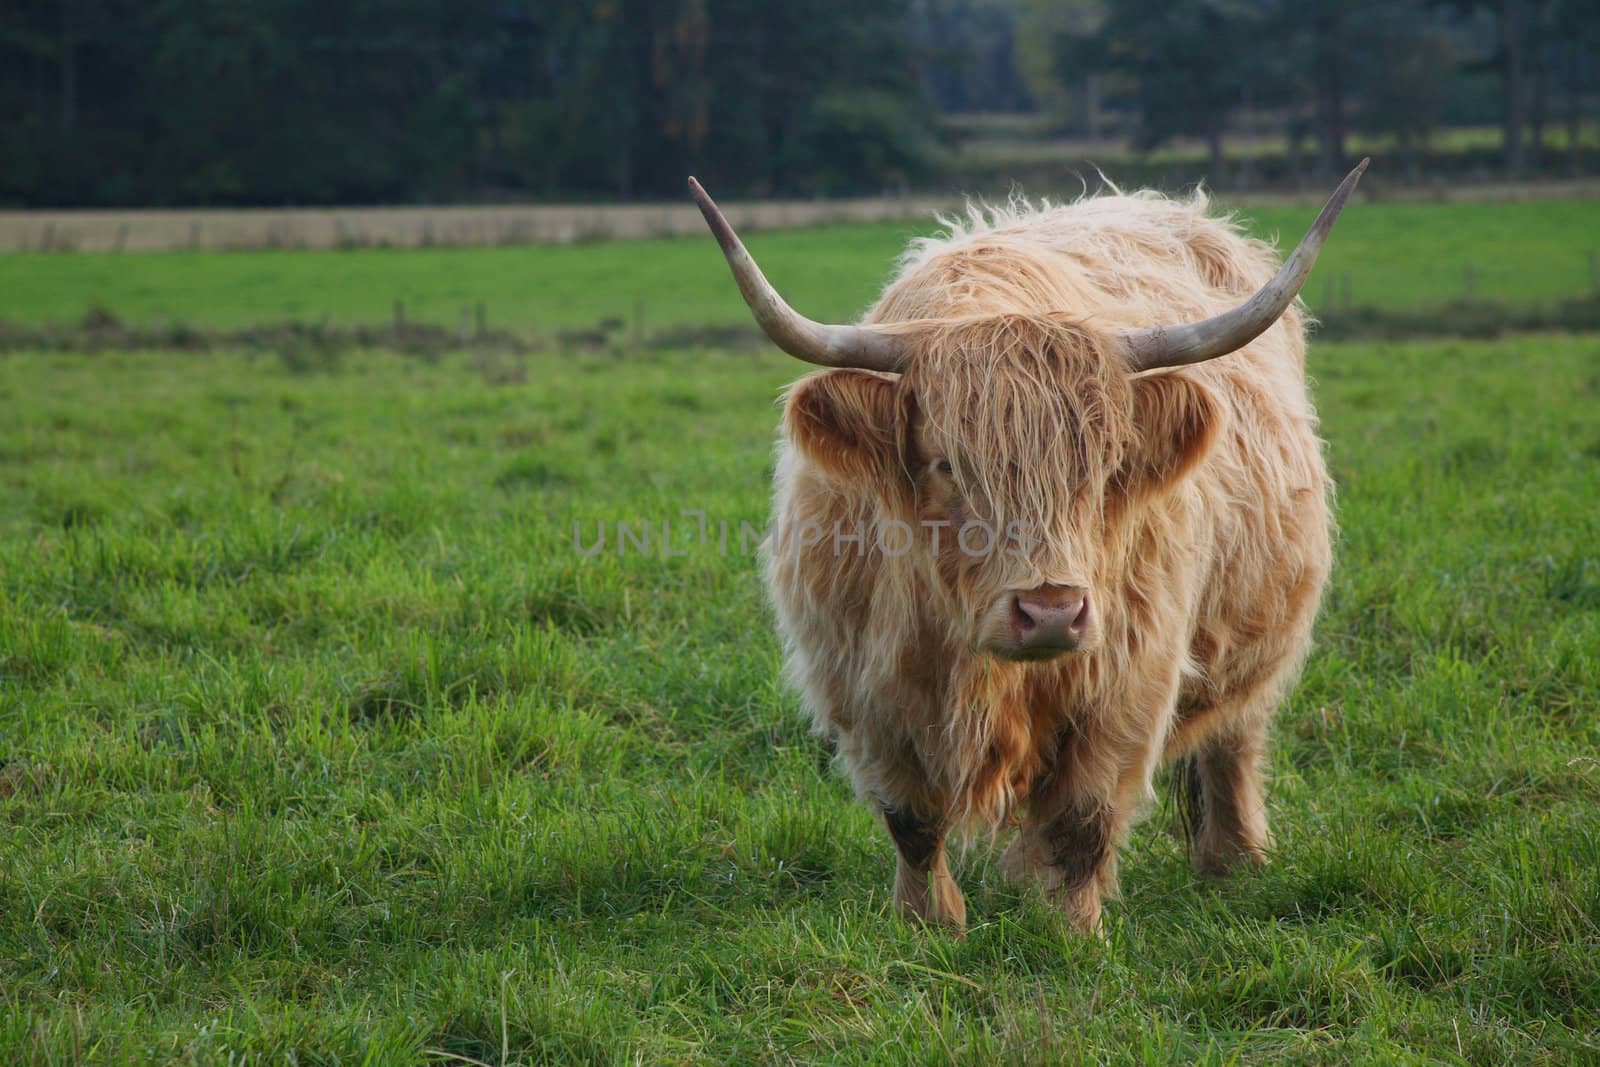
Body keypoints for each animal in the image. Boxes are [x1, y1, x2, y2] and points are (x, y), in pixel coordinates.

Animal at [688, 160, 1363, 934]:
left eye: (1106, 465)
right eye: (946, 464)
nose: (1050, 612)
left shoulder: (1127, 681)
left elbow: (1081, 822)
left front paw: (1074, 933)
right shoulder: (863, 687)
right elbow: (911, 820)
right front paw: (928, 923)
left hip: (1254, 640)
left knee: (1235, 739)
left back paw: (1235, 861)